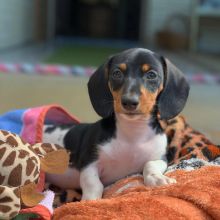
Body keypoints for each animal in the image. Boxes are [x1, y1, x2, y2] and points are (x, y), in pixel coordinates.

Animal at [43, 47, 190, 199]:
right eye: (117, 73)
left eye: (151, 75)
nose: (129, 102)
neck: (133, 134)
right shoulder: (89, 163)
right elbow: (93, 184)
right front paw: (90, 200)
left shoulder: (160, 158)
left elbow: (150, 165)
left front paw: (158, 179)